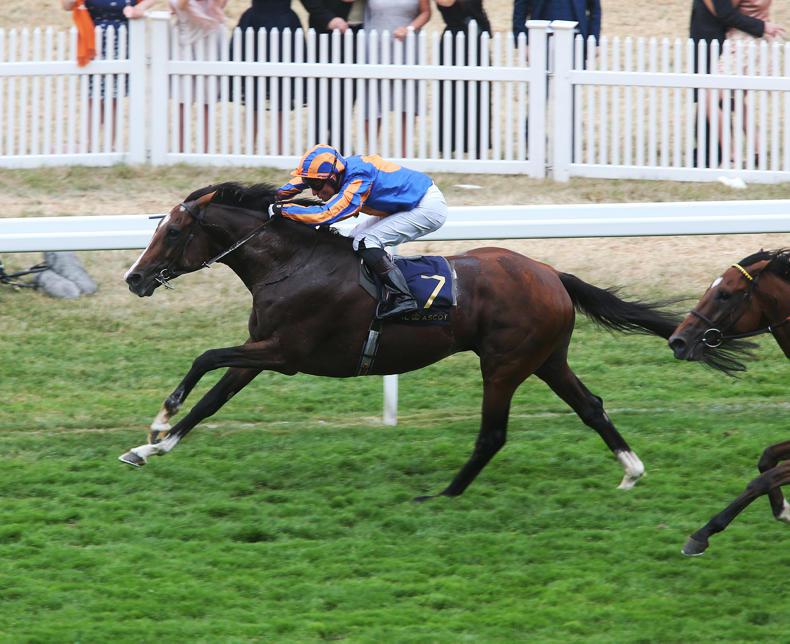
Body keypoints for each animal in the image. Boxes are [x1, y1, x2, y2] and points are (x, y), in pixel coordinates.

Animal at [120, 182, 681, 500]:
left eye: (173, 233)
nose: (134, 278)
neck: (291, 263)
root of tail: (550, 273)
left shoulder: (285, 353)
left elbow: (205, 356)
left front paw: (160, 419)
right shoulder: (261, 350)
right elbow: (212, 399)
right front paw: (150, 448)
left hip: (504, 364)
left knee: (494, 433)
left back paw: (444, 494)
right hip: (547, 359)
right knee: (590, 406)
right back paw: (631, 471)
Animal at [668, 249, 790, 556]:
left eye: (724, 294)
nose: (677, 341)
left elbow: (762, 479)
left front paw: (701, 534)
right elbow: (766, 458)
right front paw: (784, 509)